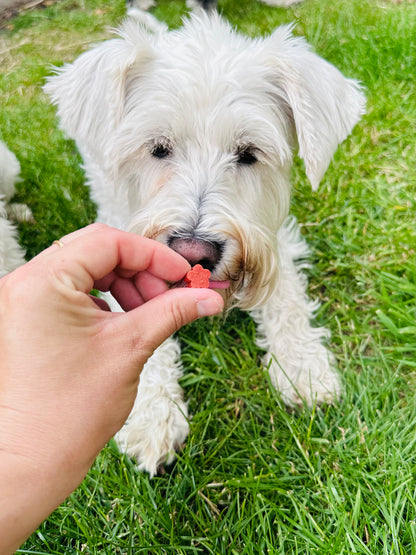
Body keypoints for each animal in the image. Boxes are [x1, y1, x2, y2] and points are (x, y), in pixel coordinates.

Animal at [44, 10, 364, 476]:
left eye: (248, 153)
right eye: (158, 148)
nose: (195, 253)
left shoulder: (274, 237)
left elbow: (286, 298)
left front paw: (303, 367)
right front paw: (152, 416)